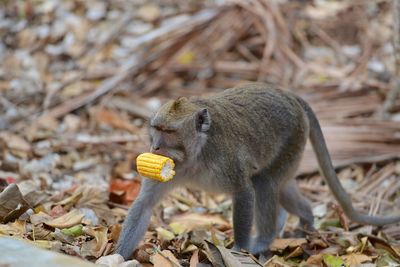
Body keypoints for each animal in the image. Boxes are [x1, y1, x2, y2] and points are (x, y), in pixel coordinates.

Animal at [113, 83, 400, 260]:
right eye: (156, 128)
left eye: (170, 132)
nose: (155, 146)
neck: (196, 153)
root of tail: (288, 95)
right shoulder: (168, 167)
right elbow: (144, 205)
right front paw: (117, 256)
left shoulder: (226, 160)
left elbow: (243, 192)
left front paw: (240, 248)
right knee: (282, 188)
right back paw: (306, 218)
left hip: (293, 137)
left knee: (265, 183)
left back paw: (264, 240)